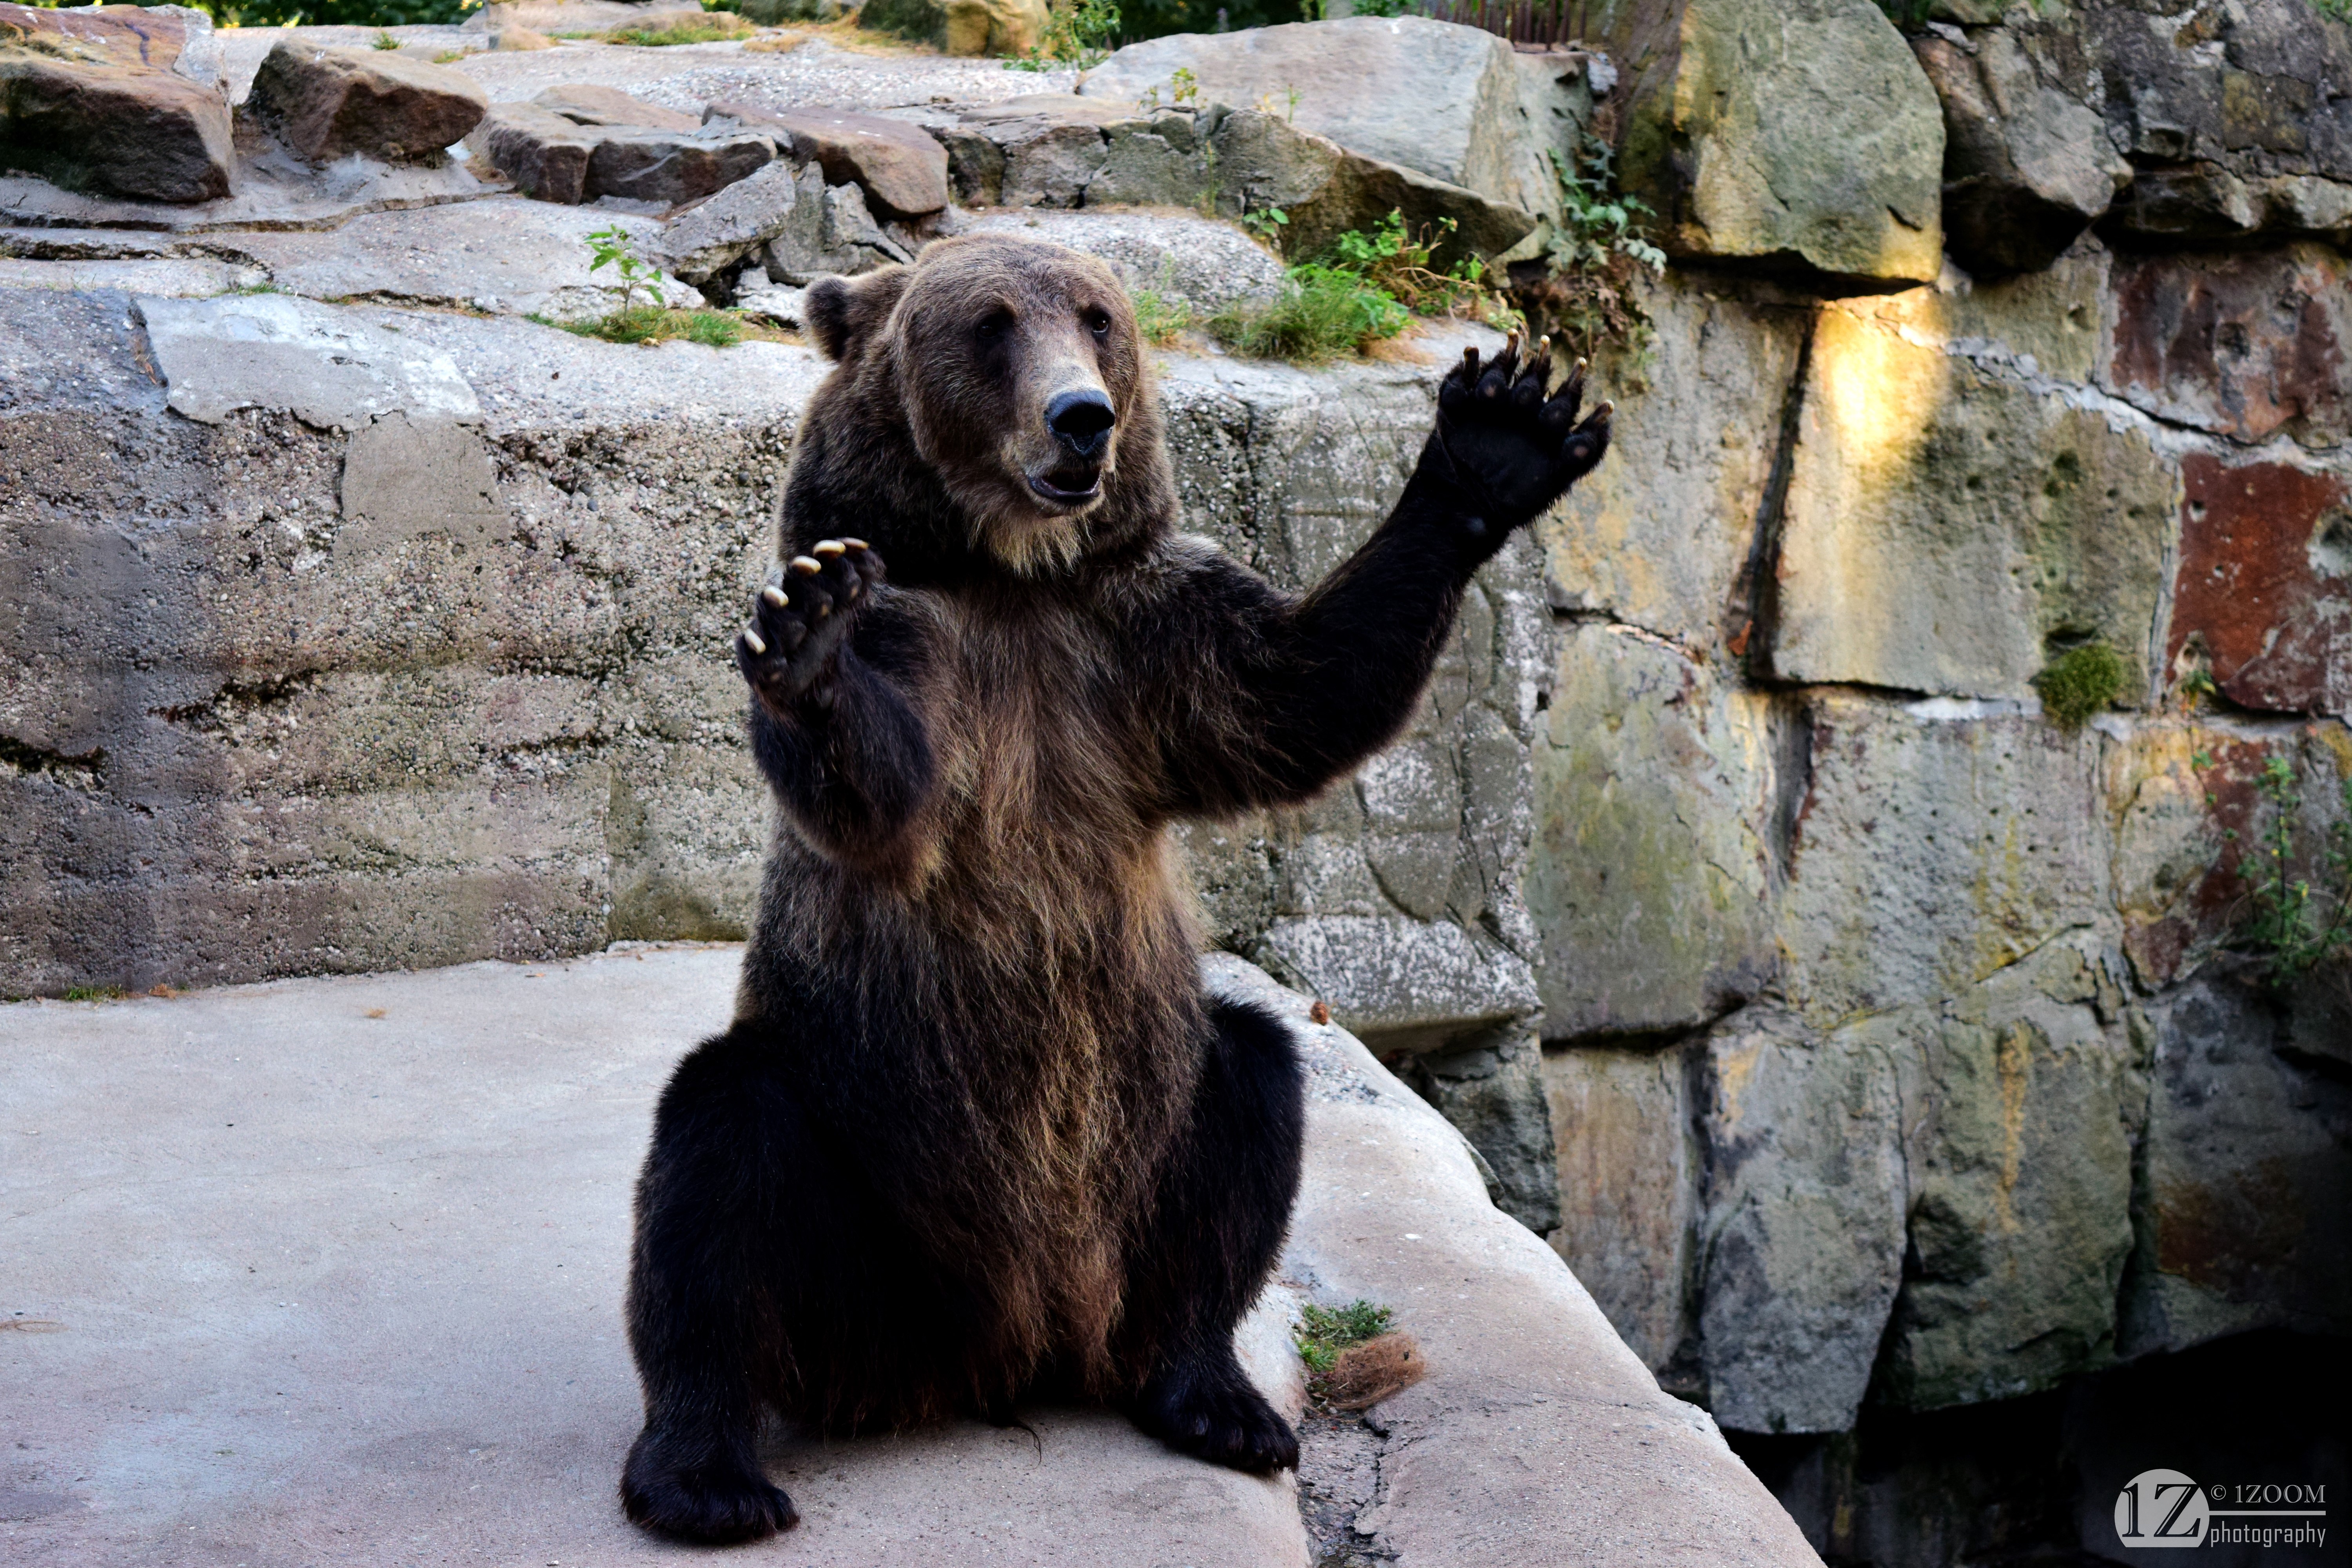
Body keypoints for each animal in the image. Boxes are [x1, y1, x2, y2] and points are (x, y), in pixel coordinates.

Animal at [619, 233, 1611, 1544]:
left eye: (1096, 317)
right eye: (990, 324)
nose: (1081, 417)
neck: (1010, 576)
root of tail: (1010, 1348)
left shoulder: (1140, 640)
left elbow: (1301, 690)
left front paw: (1502, 430)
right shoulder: (943, 657)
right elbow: (879, 796)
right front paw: (813, 631)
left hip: (1140, 1133)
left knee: (1243, 1095)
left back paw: (1214, 1396)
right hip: (870, 1223)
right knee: (721, 1162)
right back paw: (705, 1474)